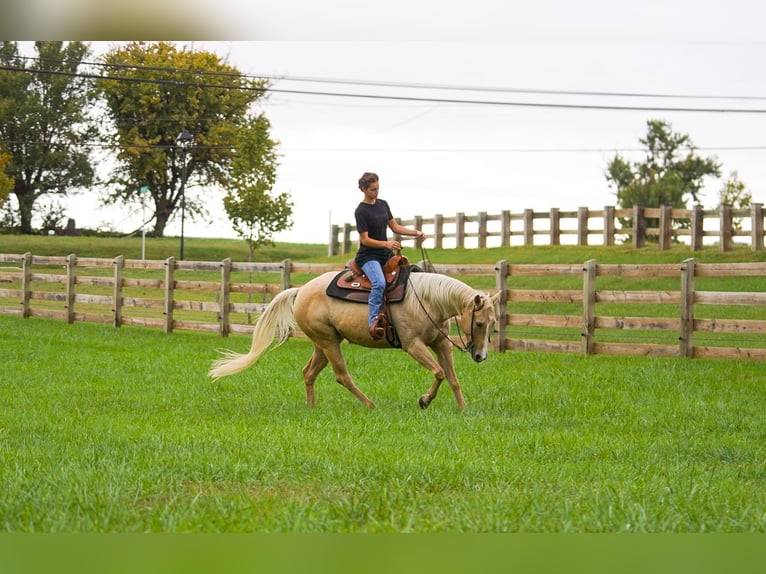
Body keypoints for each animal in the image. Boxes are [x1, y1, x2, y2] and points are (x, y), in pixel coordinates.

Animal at [208, 270, 500, 410]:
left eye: (493, 324)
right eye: (478, 323)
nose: (480, 356)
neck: (427, 300)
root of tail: (301, 290)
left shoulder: (440, 344)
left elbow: (452, 378)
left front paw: (463, 409)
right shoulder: (413, 346)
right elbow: (439, 373)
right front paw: (424, 401)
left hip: (322, 343)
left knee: (309, 373)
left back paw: (312, 408)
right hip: (329, 342)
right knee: (342, 376)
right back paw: (371, 405)